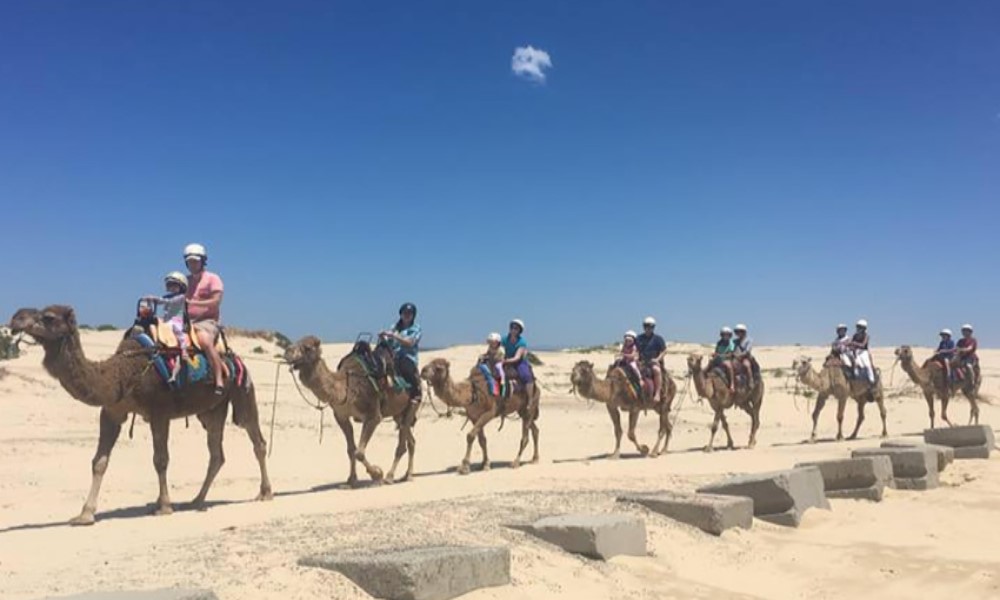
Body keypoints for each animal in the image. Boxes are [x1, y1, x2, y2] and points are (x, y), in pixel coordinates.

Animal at [9, 304, 274, 524]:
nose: (16, 317)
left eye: (48, 317)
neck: (121, 374)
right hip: (211, 410)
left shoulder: (160, 411)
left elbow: (160, 459)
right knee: (216, 454)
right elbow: (99, 462)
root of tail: (233, 357)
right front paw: (85, 514)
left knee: (257, 441)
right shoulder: (112, 412)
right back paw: (197, 500)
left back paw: (265, 493)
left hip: (243, 392)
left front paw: (164, 506)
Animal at [286, 336, 418, 486]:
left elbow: (359, 452)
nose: (287, 351)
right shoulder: (341, 416)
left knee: (403, 443)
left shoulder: (373, 415)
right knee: (411, 440)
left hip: (412, 405)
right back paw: (407, 475)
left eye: (307, 347)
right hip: (398, 413)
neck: (346, 388)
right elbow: (351, 450)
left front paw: (377, 474)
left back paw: (391, 477)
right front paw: (351, 480)